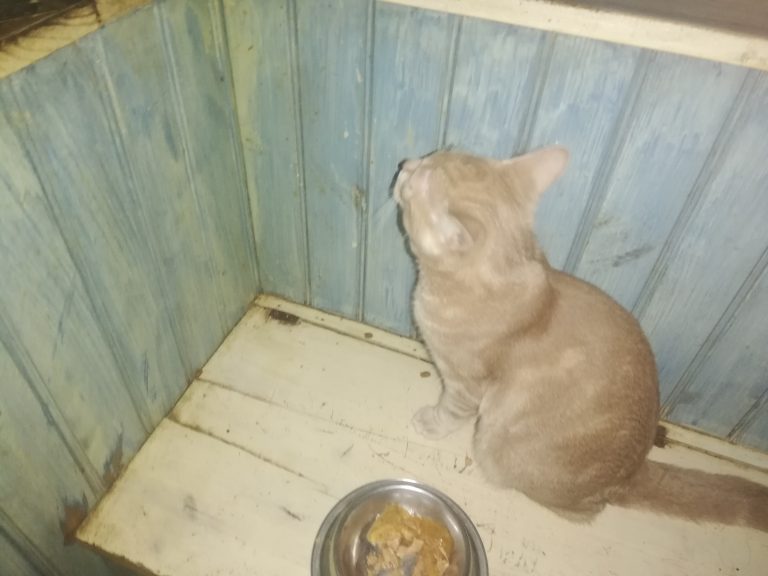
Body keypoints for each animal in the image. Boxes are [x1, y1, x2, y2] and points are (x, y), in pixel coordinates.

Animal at [393, 147, 768, 531]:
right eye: (432, 155)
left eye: (414, 182)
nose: (405, 166)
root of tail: (631, 473)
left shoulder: (465, 385)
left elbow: (450, 411)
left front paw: (430, 422)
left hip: (500, 450)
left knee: (585, 512)